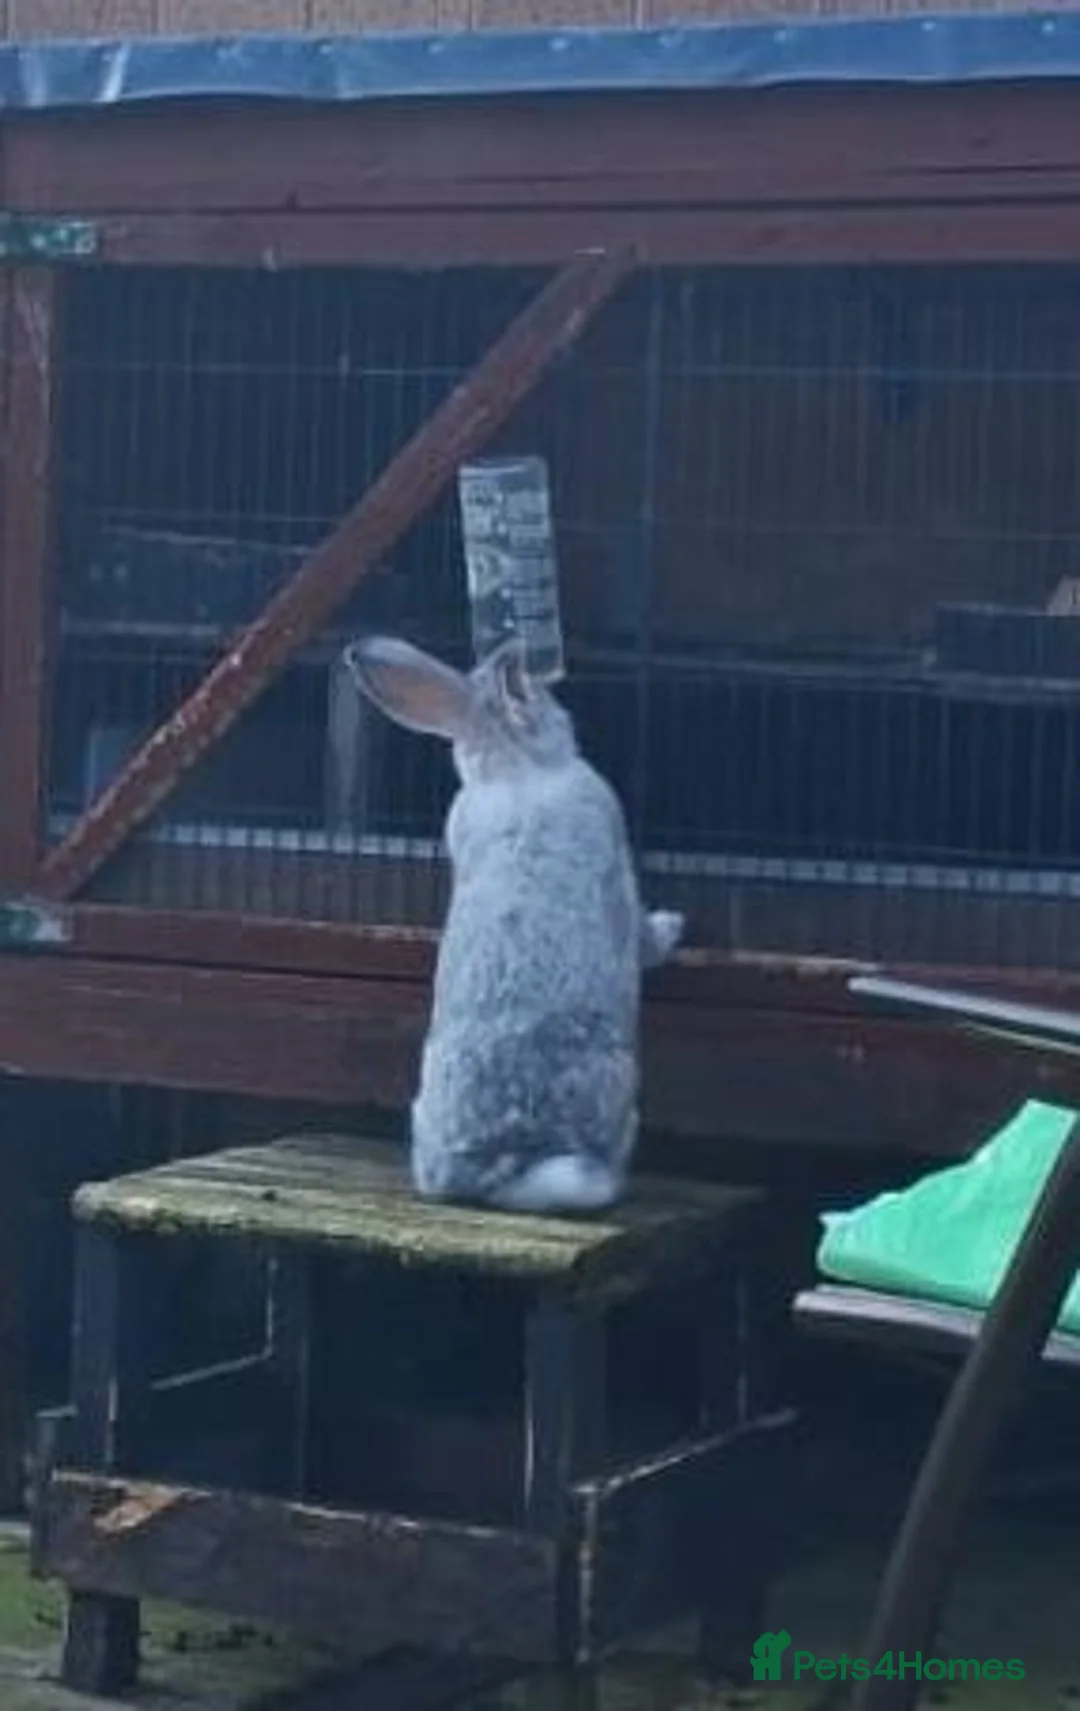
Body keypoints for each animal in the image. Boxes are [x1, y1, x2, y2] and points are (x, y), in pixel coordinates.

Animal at [345, 633, 684, 1215]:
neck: (514, 766)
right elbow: (641, 930)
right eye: (545, 701)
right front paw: (672, 927)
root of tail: (501, 1163)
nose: (567, 716)